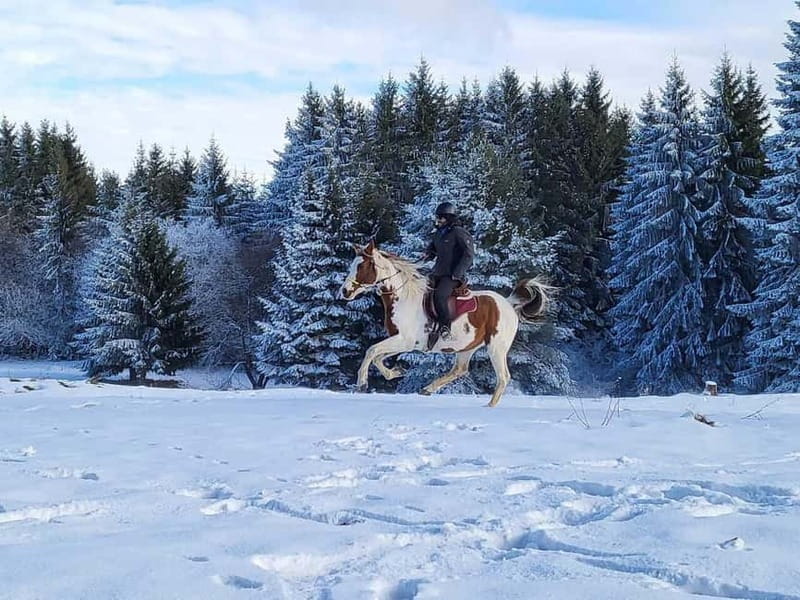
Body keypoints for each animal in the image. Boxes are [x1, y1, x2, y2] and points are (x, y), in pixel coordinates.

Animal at [339, 240, 551, 406]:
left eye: (362, 266)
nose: (345, 291)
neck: (404, 298)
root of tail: (508, 303)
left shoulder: (404, 340)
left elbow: (371, 351)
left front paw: (362, 383)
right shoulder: (403, 342)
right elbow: (377, 357)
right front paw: (396, 372)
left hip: (496, 348)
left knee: (503, 378)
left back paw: (489, 407)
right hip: (467, 348)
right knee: (460, 370)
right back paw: (428, 389)